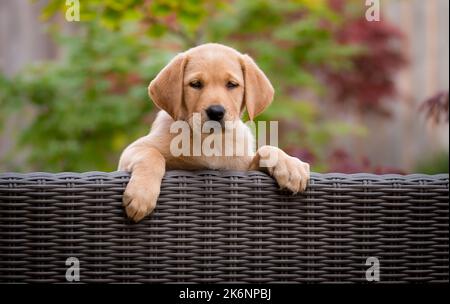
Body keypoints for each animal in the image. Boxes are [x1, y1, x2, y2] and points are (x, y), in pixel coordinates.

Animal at [118, 42, 310, 222]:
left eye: (232, 84)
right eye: (195, 84)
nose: (216, 112)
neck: (210, 140)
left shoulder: (242, 168)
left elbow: (267, 149)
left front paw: (290, 165)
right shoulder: (133, 151)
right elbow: (152, 155)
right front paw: (141, 194)